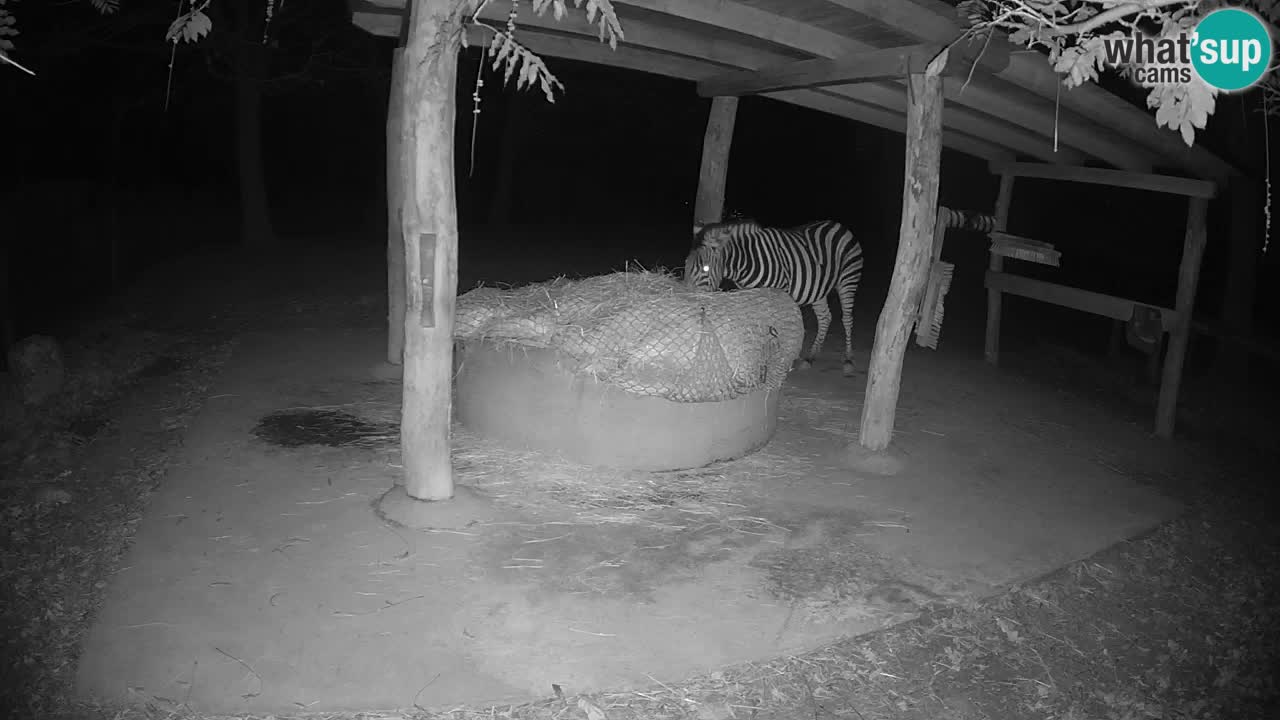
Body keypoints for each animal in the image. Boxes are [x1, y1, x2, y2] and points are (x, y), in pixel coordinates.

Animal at [684, 218, 865, 376]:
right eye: (686, 265)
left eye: (706, 269)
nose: (688, 300)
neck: (748, 261)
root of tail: (838, 225)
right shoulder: (753, 295)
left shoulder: (777, 294)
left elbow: (774, 329)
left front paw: (774, 363)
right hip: (819, 289)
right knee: (825, 317)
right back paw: (810, 358)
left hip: (848, 279)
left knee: (847, 319)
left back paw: (848, 360)